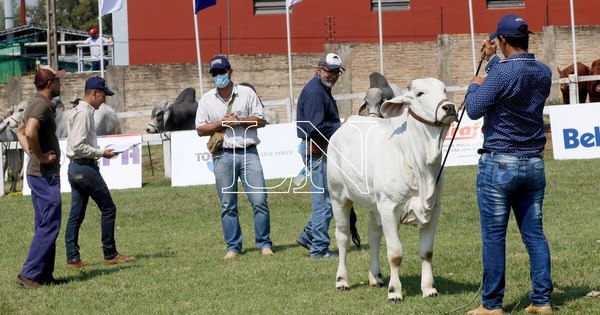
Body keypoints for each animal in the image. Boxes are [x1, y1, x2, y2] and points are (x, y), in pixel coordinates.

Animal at [326, 78, 458, 302]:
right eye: (420, 93)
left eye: (444, 90)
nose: (449, 107)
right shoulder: (389, 208)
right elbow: (395, 254)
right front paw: (395, 291)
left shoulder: (434, 210)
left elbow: (426, 252)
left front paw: (429, 289)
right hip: (339, 198)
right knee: (342, 237)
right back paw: (342, 281)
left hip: (374, 205)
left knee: (373, 235)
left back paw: (376, 277)